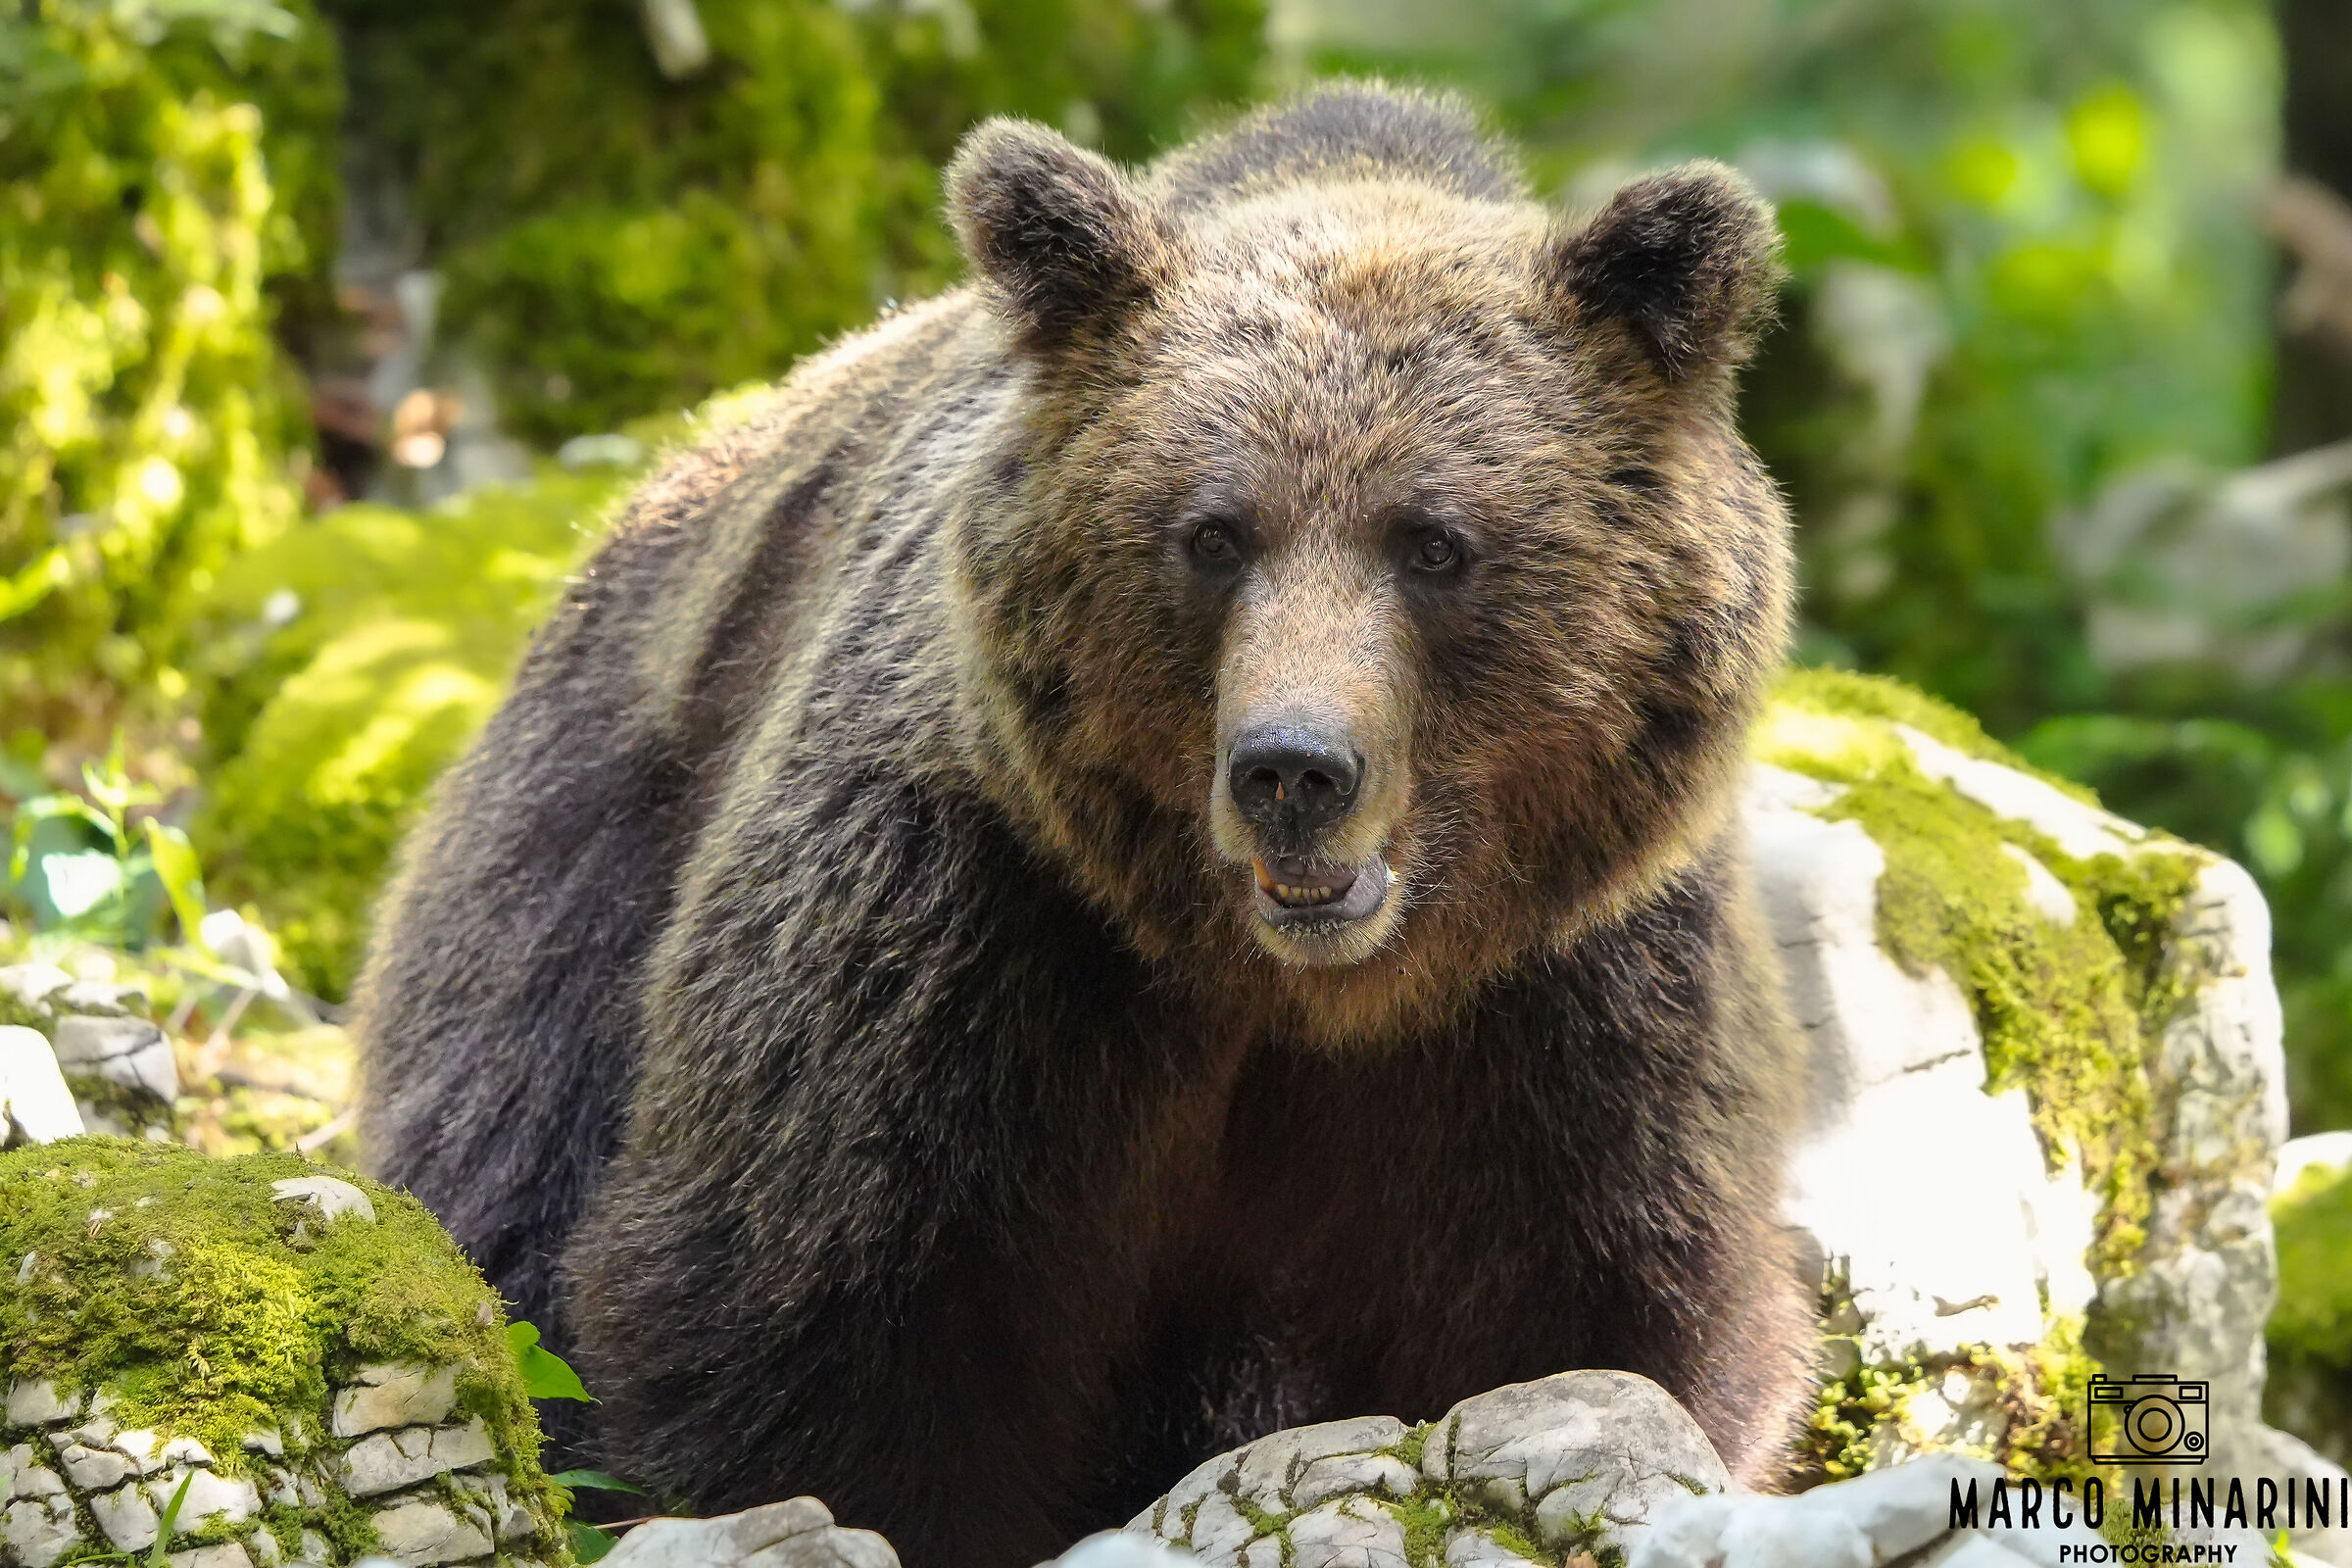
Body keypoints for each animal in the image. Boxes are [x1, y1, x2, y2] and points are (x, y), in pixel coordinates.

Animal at [353, 81, 1809, 1568]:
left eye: (1434, 541)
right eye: (1215, 534)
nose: (1294, 768)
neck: (1294, 992)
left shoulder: (1562, 1007)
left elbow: (1595, 1309)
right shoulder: (964, 933)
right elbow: (805, 1315)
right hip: (587, 855)